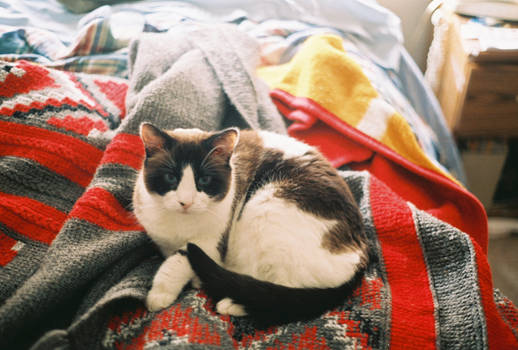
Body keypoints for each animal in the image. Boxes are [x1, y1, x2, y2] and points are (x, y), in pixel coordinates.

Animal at [133, 122, 370, 322]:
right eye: (171, 178)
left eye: (204, 180)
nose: (185, 202)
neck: (178, 226)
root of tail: (361, 258)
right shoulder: (162, 240)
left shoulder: (210, 242)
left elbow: (178, 261)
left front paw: (159, 294)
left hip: (265, 210)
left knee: (278, 294)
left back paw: (232, 303)